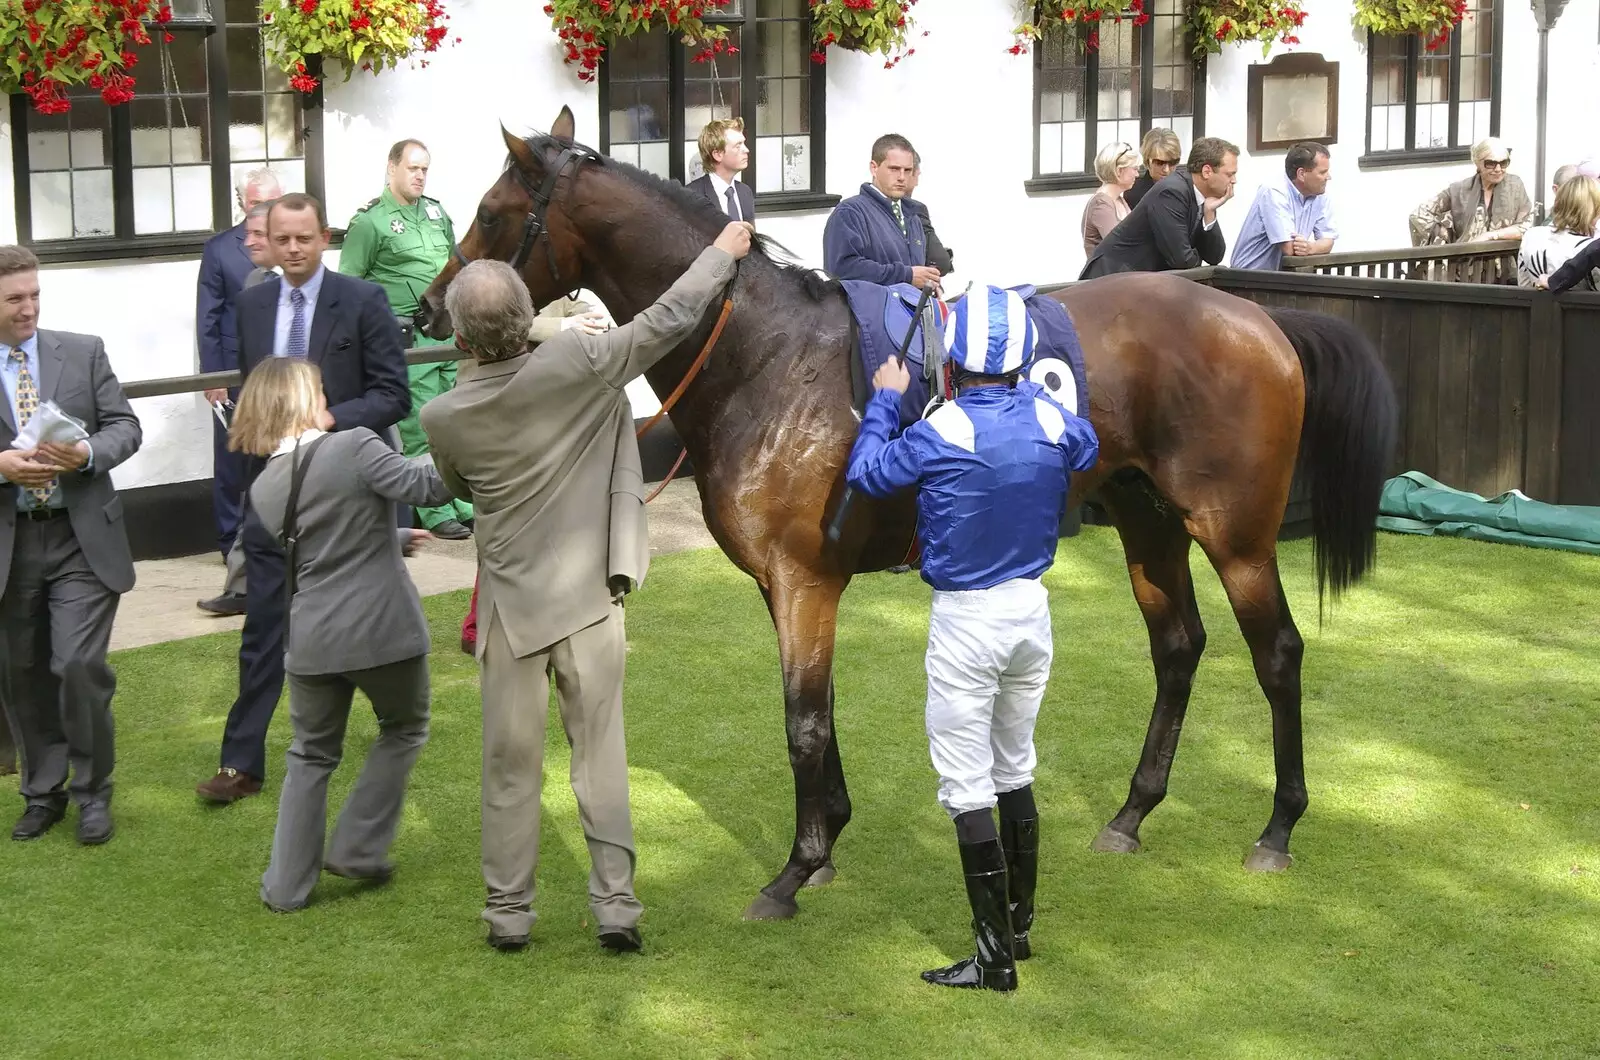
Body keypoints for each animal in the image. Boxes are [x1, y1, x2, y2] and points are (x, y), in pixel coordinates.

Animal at [419, 105, 1395, 922]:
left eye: (494, 211)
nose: (433, 306)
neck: (765, 352)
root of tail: (1260, 320)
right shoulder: (788, 584)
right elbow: (815, 709)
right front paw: (826, 845)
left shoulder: (803, 579)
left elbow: (803, 721)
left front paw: (795, 867)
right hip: (1147, 521)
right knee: (1179, 648)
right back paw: (1132, 811)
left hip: (1235, 533)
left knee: (1277, 655)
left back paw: (1278, 827)